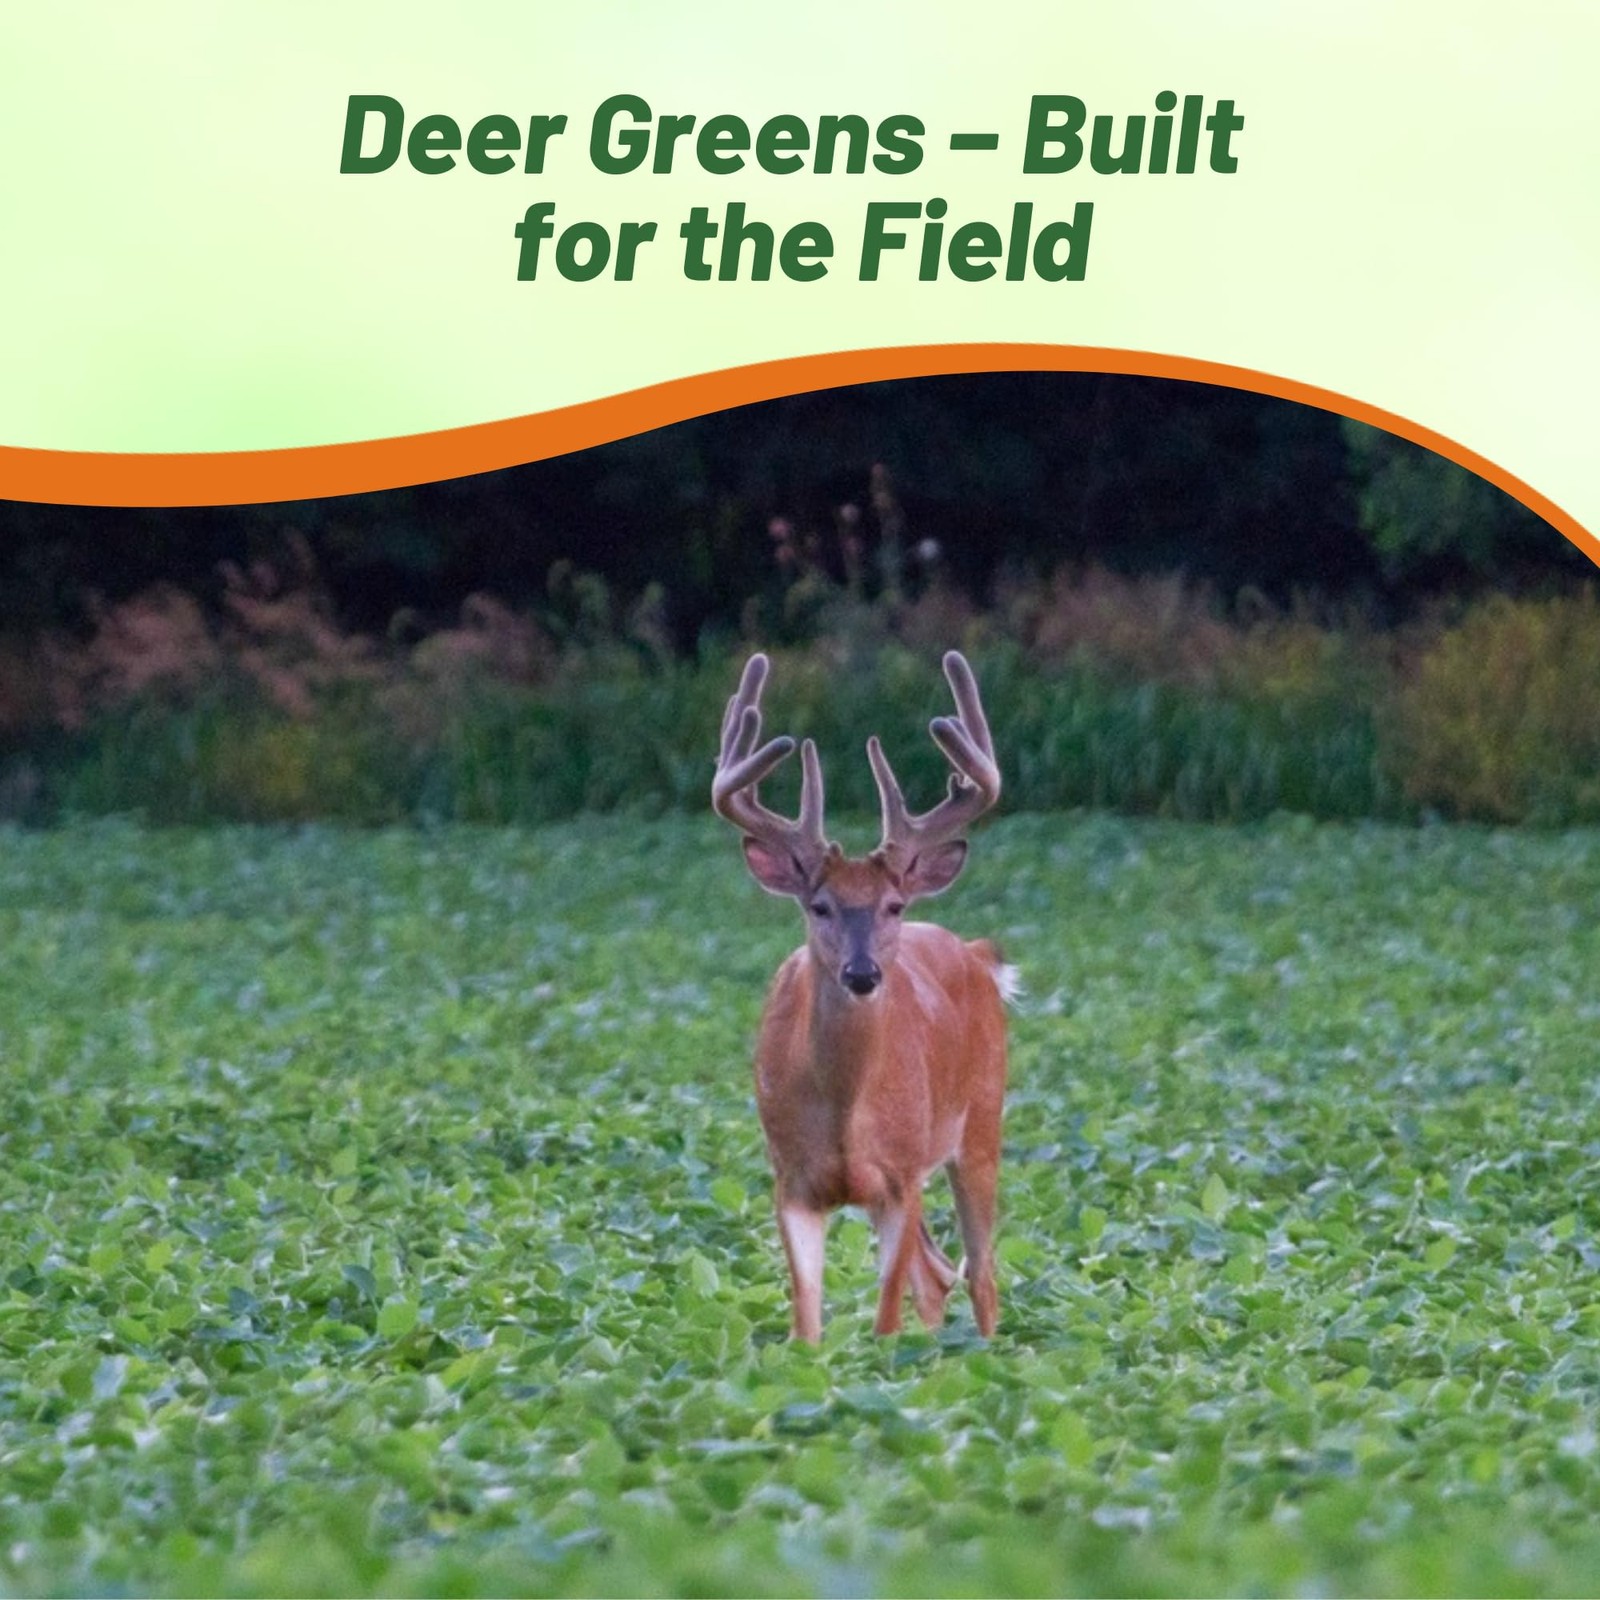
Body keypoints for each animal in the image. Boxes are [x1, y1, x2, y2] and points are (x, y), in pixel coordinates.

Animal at [712, 650, 1011, 1342]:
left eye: (893, 905)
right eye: (819, 905)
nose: (863, 973)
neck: (846, 1110)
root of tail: (977, 953)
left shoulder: (900, 1177)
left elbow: (885, 1320)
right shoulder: (790, 1179)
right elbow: (806, 1322)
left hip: (982, 1123)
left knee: (981, 1275)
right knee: (938, 1274)